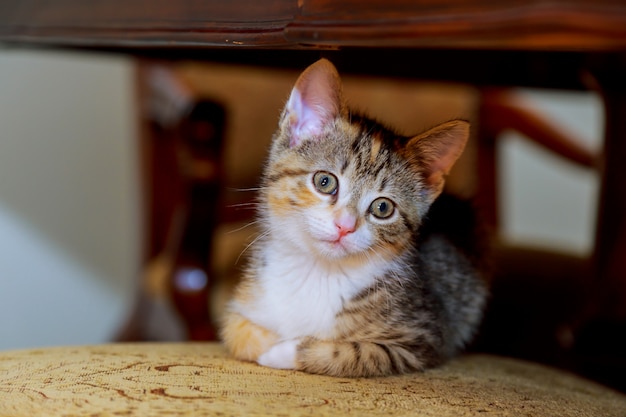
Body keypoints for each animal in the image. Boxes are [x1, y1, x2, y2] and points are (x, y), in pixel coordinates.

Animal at [219, 58, 488, 376]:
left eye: (383, 208)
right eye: (324, 182)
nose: (344, 226)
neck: (318, 271)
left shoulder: (421, 339)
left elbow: (349, 353)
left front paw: (283, 352)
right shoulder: (243, 305)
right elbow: (237, 333)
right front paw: (267, 343)